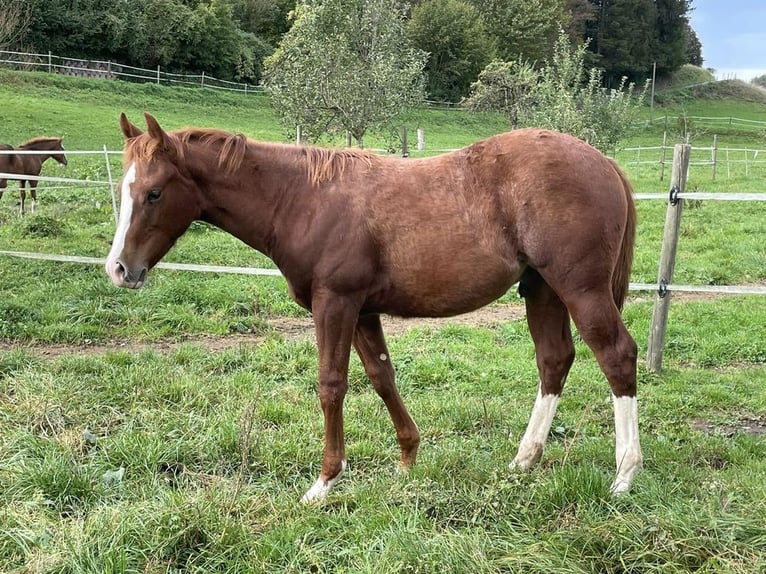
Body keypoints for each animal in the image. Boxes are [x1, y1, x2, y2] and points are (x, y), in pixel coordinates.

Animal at [103, 116, 640, 504]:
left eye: (154, 192)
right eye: (124, 191)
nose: (119, 269)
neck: (303, 199)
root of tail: (605, 162)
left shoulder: (335, 304)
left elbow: (332, 385)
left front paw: (324, 482)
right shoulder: (363, 311)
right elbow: (382, 377)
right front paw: (407, 459)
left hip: (581, 290)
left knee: (617, 356)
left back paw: (624, 475)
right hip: (542, 290)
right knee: (554, 360)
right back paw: (524, 460)